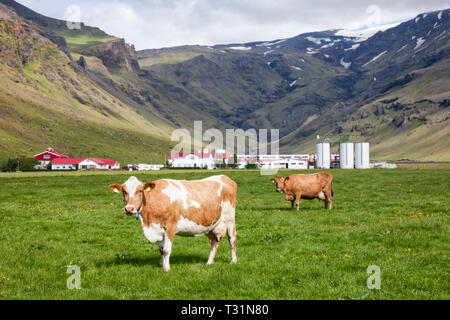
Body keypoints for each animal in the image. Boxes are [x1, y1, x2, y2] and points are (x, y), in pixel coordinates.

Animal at [108, 176, 237, 272]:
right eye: (123, 191)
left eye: (140, 190)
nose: (129, 209)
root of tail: (225, 177)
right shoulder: (158, 230)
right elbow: (161, 250)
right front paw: (163, 267)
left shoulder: (170, 227)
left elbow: (166, 250)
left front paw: (167, 269)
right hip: (212, 225)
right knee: (214, 241)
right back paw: (209, 262)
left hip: (230, 219)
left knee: (232, 238)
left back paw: (233, 261)